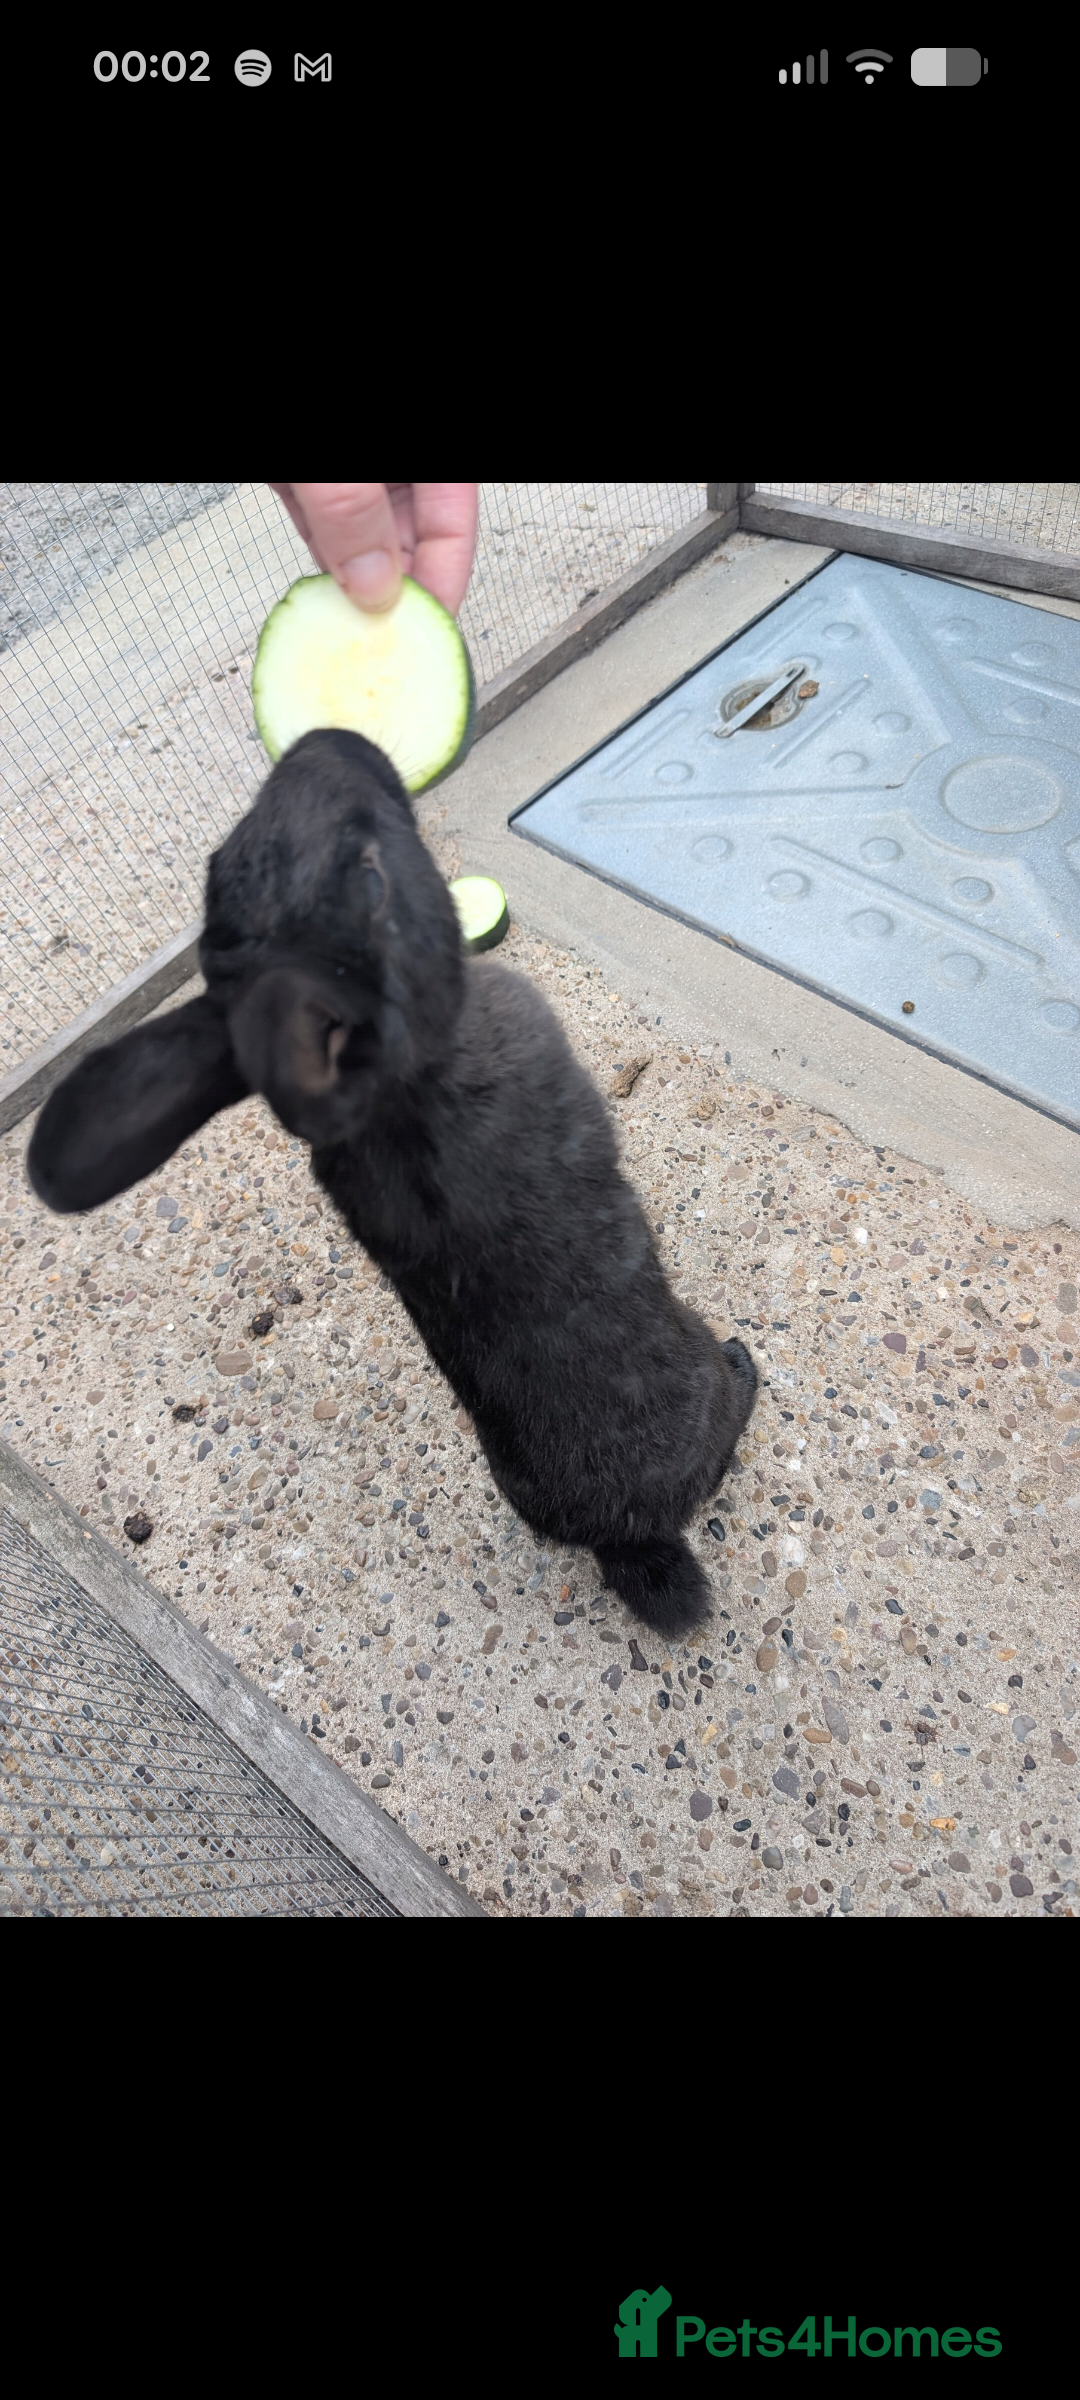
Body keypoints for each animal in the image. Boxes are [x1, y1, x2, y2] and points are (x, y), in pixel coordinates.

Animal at [27, 728, 758, 1636]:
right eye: (369, 875)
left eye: (218, 861)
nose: (325, 741)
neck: (403, 1085)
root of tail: (631, 1537)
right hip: (701, 1381)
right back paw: (745, 1365)